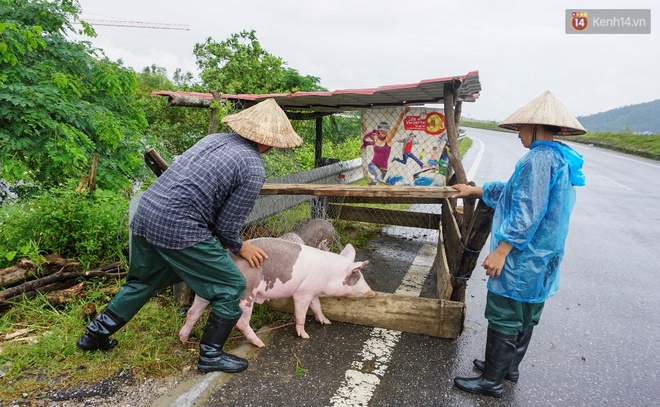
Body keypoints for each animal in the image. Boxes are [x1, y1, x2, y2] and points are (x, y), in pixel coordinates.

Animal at [178, 237, 374, 350]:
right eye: (358, 277)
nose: (372, 293)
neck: (329, 275)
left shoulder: (312, 292)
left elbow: (317, 307)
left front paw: (327, 322)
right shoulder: (302, 293)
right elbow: (301, 314)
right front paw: (305, 336)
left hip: (205, 291)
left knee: (192, 312)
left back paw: (183, 339)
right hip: (246, 294)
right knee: (241, 322)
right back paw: (260, 344)